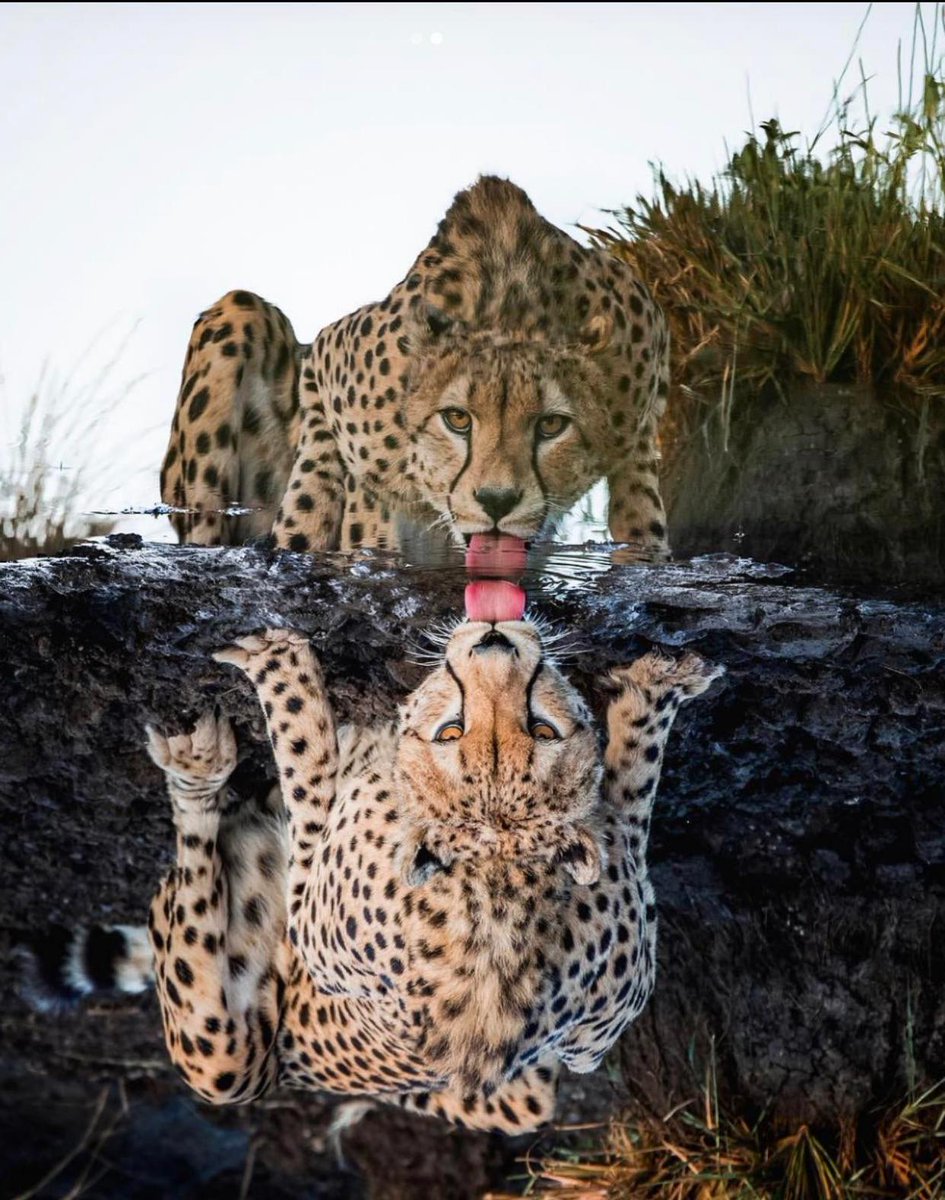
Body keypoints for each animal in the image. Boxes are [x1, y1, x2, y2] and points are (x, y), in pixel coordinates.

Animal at [33, 619, 719, 1132]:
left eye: (541, 727)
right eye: (453, 729)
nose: (493, 639)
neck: (494, 860)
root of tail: (297, 1070)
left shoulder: (313, 919)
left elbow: (306, 764)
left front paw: (281, 669)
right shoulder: (596, 1025)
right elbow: (627, 809)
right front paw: (655, 694)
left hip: (223, 1059)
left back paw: (197, 765)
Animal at [164, 172, 671, 552]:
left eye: (551, 425)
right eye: (457, 419)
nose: (496, 502)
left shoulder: (642, 368)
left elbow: (641, 502)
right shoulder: (330, 357)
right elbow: (343, 493)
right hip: (240, 311)